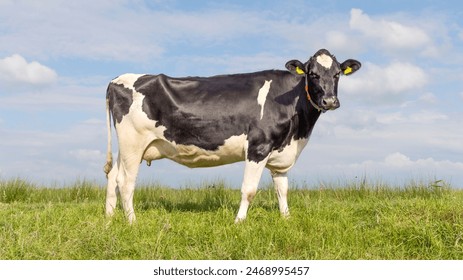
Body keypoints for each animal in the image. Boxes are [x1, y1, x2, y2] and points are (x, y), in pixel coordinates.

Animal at [103, 48, 360, 223]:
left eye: (337, 74)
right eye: (312, 73)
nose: (330, 101)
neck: (298, 132)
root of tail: (116, 79)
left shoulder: (280, 152)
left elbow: (282, 189)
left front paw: (286, 218)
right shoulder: (258, 147)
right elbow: (249, 189)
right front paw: (239, 222)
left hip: (126, 148)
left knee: (113, 177)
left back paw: (109, 218)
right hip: (133, 143)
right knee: (125, 182)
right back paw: (132, 222)